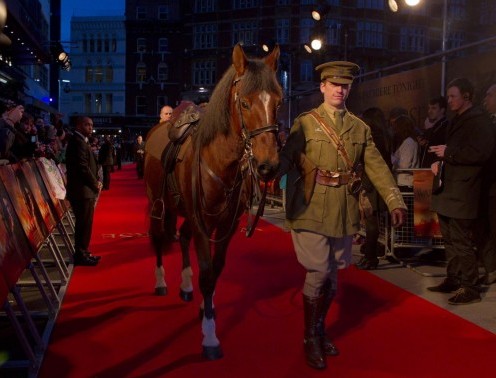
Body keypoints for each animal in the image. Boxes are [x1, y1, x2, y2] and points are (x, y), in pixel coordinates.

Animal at [145, 43, 280, 358]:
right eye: (245, 104)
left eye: (278, 102)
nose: (268, 166)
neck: (221, 162)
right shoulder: (202, 223)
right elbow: (207, 274)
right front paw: (209, 335)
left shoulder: (225, 226)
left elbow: (216, 271)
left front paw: (207, 308)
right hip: (159, 203)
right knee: (158, 238)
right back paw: (161, 281)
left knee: (182, 237)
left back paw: (184, 285)